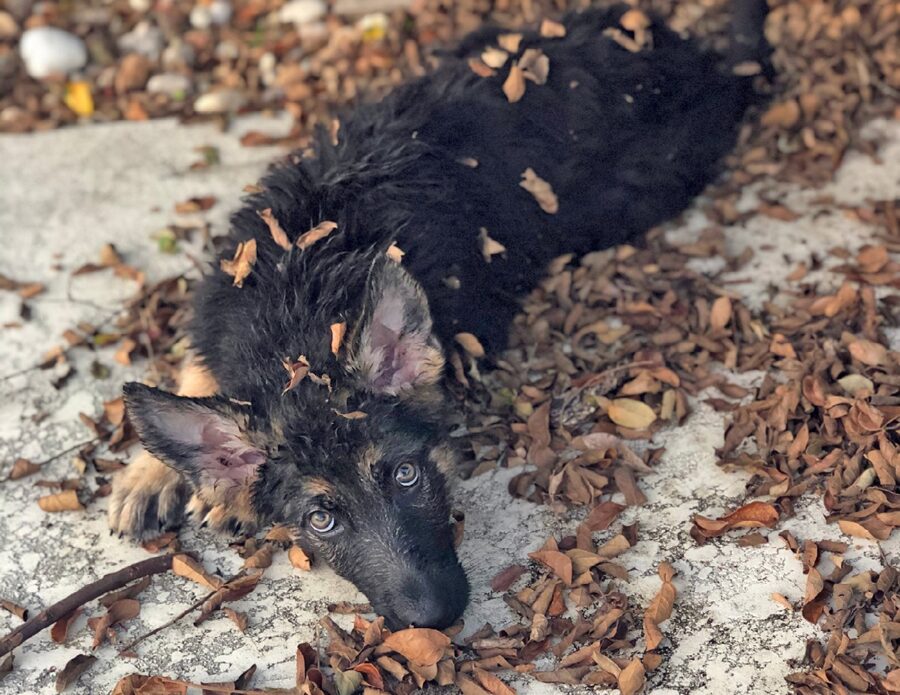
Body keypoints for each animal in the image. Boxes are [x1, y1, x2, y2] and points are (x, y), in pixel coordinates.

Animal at [107, 1, 768, 632]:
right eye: (321, 519)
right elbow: (196, 375)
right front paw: (153, 474)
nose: (435, 620)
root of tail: (686, 52)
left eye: (405, 475)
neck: (298, 307)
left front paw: (207, 492)